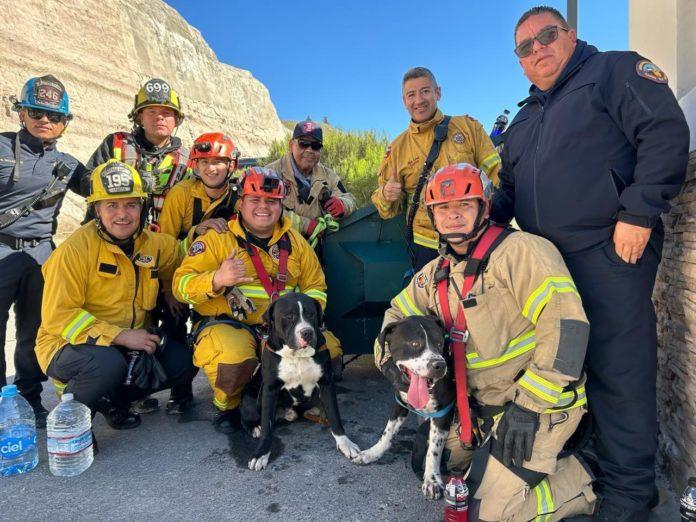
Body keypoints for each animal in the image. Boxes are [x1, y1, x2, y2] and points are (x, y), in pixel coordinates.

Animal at [241, 290, 358, 470]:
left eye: (311, 314)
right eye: (289, 316)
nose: (307, 332)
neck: (297, 356)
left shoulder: (326, 384)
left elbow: (334, 416)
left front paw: (345, 443)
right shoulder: (270, 389)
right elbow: (267, 425)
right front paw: (261, 453)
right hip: (249, 395)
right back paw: (254, 427)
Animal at [350, 314, 454, 498]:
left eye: (440, 343)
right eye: (414, 344)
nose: (439, 365)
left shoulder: (443, 412)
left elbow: (434, 450)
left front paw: (432, 480)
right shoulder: (399, 403)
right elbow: (387, 433)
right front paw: (373, 453)